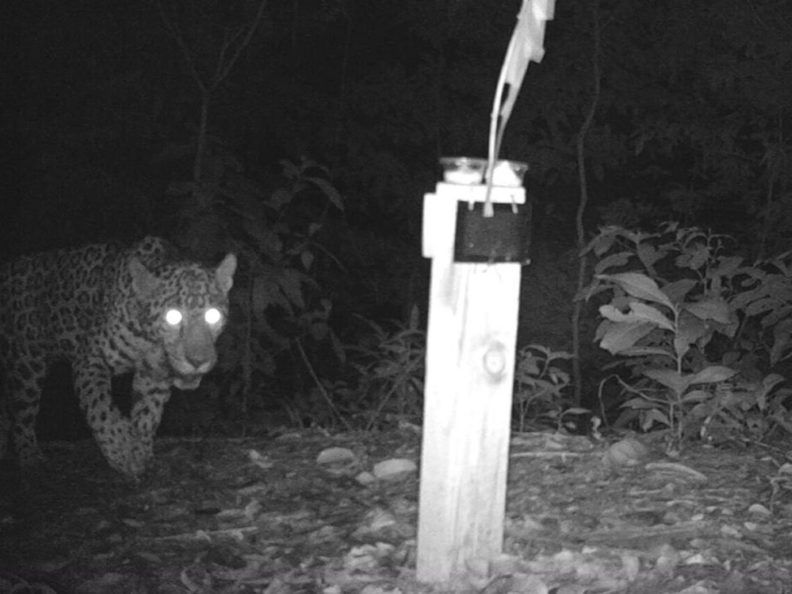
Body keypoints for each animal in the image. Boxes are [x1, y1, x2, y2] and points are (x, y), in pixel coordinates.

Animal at [0, 236, 236, 478]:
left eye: (213, 315)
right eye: (173, 316)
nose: (198, 361)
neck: (148, 338)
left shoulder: (154, 376)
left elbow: (147, 416)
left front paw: (140, 453)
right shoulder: (91, 360)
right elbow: (101, 409)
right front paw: (121, 449)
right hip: (27, 366)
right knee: (21, 415)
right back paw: (31, 459)